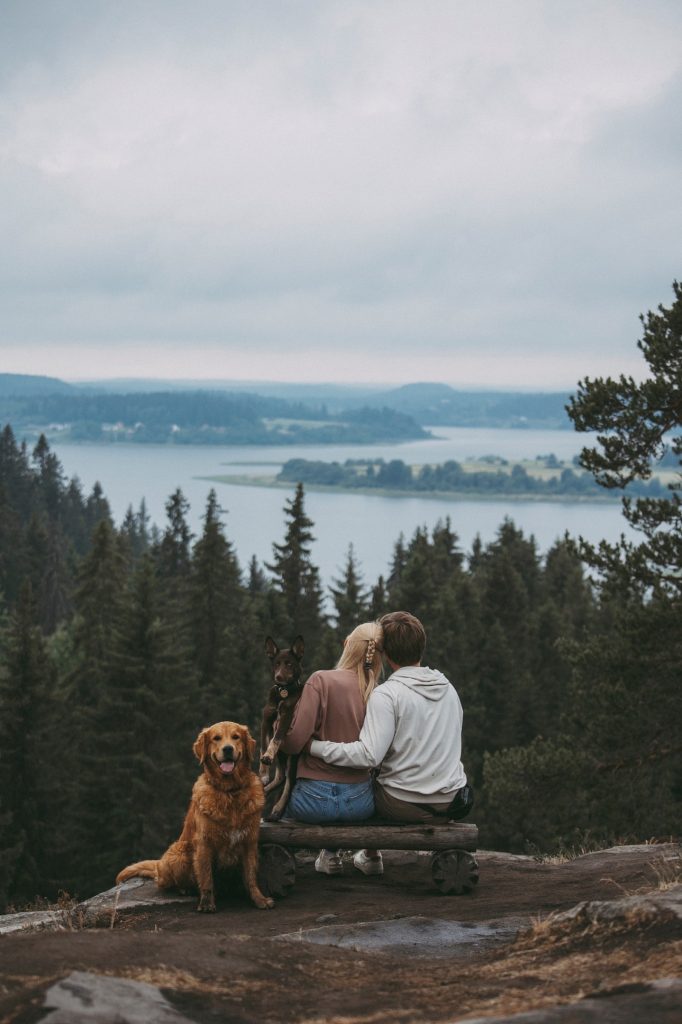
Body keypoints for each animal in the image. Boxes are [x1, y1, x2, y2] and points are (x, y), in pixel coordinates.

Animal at [115, 720, 272, 913]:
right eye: (216, 738)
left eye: (236, 737)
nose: (228, 749)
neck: (229, 791)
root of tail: (160, 865)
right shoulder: (204, 843)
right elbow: (205, 876)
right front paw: (206, 903)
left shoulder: (249, 842)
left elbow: (250, 877)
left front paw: (259, 899)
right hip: (179, 852)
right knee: (163, 882)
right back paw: (185, 889)